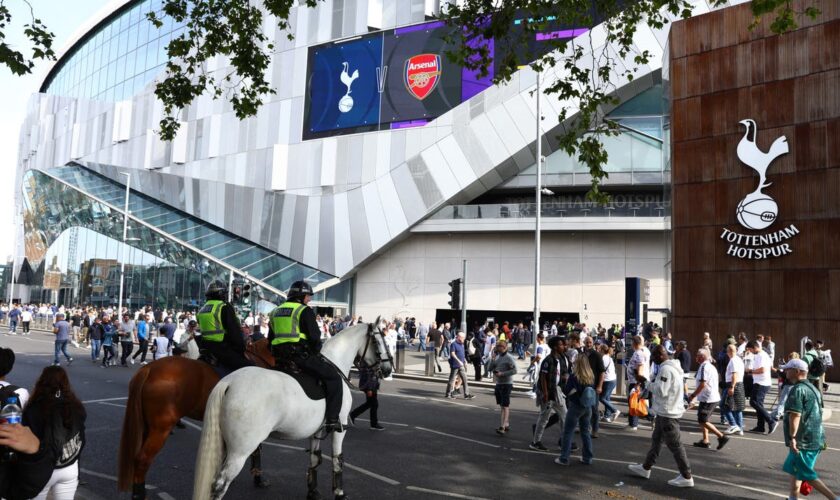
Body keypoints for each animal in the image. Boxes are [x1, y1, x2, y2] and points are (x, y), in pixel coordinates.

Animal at [117, 338, 272, 498]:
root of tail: (148, 369)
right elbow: (256, 450)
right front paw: (258, 478)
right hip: (160, 428)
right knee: (142, 460)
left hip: (147, 426)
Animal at [192, 320, 392, 500]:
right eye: (380, 339)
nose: (388, 369)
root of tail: (229, 381)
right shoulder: (340, 427)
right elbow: (338, 459)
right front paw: (339, 493)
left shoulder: (317, 431)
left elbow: (314, 458)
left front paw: (312, 492)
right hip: (240, 450)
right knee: (220, 485)